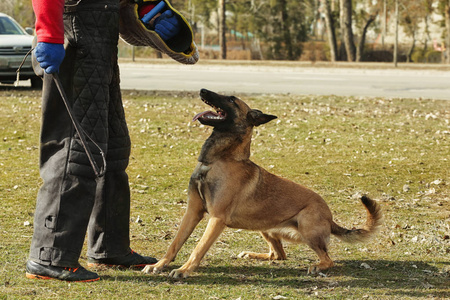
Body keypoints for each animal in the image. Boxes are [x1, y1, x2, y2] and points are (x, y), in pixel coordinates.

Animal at [142, 89, 382, 278]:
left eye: (231, 99)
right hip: (265, 229)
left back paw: (317, 266)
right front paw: (159, 265)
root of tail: (330, 218)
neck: (219, 159)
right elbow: (175, 243)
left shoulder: (216, 218)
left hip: (306, 227)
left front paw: (184, 270)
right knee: (278, 254)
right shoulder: (193, 211)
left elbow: (198, 248)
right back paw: (253, 254)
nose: (202, 90)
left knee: (327, 259)